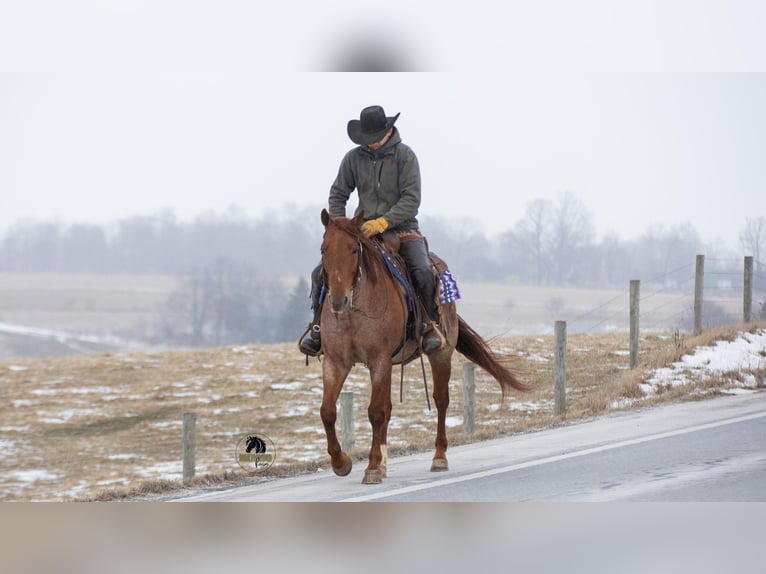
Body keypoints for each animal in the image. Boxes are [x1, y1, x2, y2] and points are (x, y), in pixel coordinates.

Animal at [316, 208, 529, 484]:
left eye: (354, 250)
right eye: (324, 250)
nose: (338, 300)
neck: (355, 311)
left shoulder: (379, 360)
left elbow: (375, 412)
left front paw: (372, 467)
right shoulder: (336, 362)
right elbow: (328, 411)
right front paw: (341, 462)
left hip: (440, 354)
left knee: (440, 400)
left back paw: (439, 457)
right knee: (388, 408)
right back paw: (385, 464)